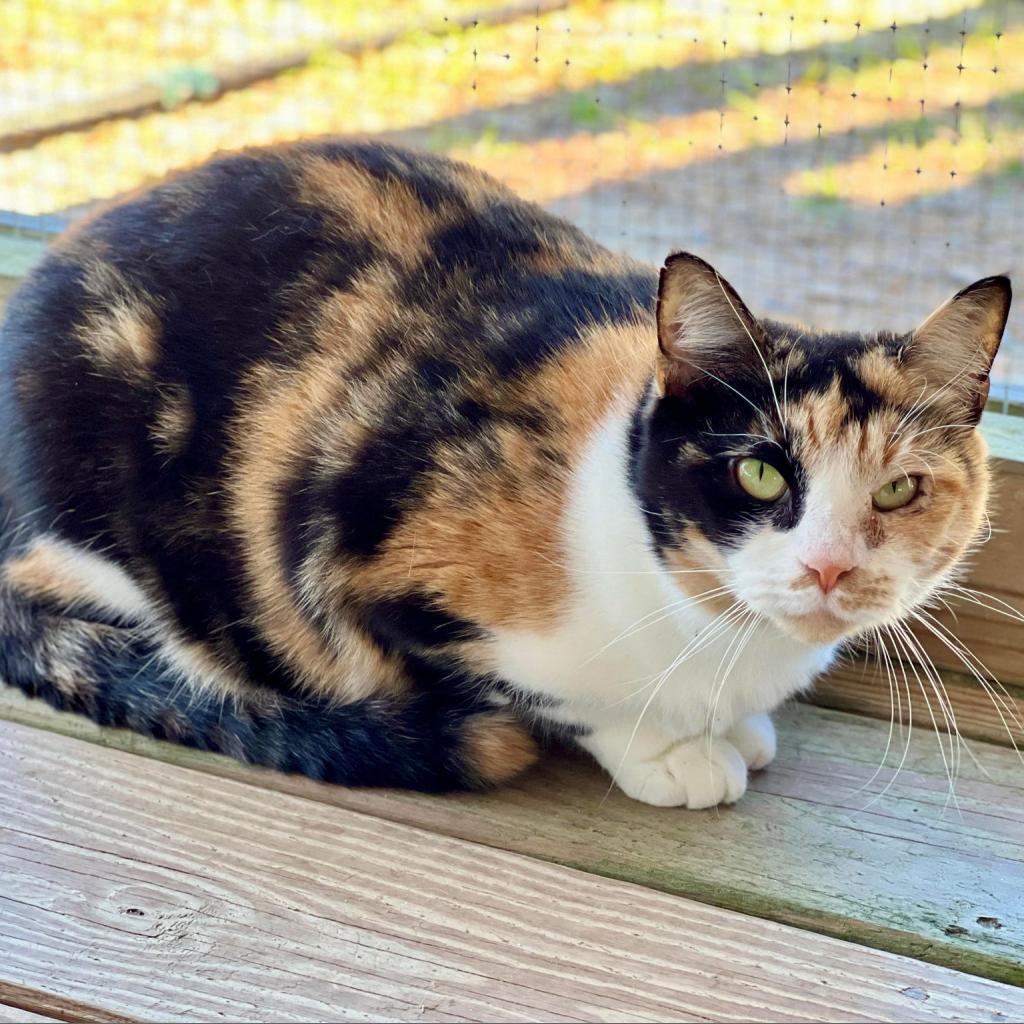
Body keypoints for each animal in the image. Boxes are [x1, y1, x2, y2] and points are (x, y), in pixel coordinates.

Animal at [0, 138, 1007, 806]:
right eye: (760, 476)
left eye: (899, 489)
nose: (830, 568)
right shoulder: (367, 577)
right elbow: (551, 697)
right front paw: (669, 752)